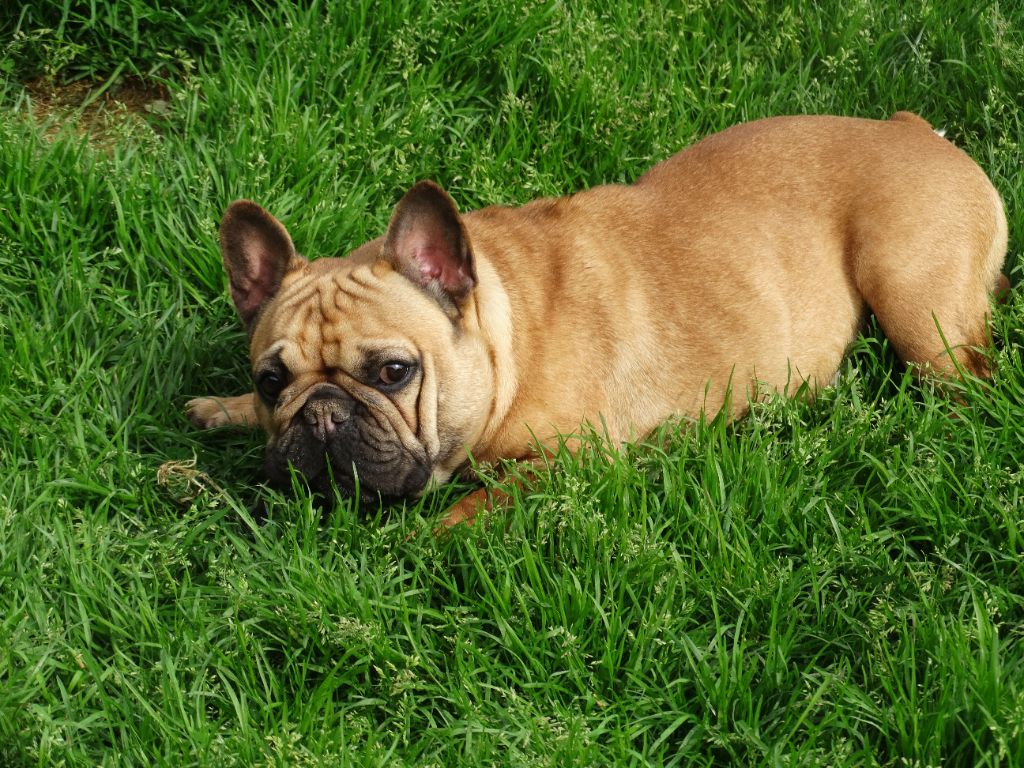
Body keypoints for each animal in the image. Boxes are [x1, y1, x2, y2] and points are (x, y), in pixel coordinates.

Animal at [188, 111, 1011, 528]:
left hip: (912, 298)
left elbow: (478, 503)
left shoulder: (578, 459)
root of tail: (914, 128)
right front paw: (221, 412)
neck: (508, 337)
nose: (323, 415)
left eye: (393, 373)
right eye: (270, 381)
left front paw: (431, 533)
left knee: (972, 375)